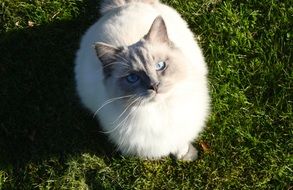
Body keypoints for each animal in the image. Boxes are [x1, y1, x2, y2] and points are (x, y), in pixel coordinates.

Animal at [74, 0, 209, 160]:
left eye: (160, 66)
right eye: (133, 78)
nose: (154, 86)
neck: (159, 111)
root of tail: (125, 5)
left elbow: (180, 143)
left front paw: (185, 156)